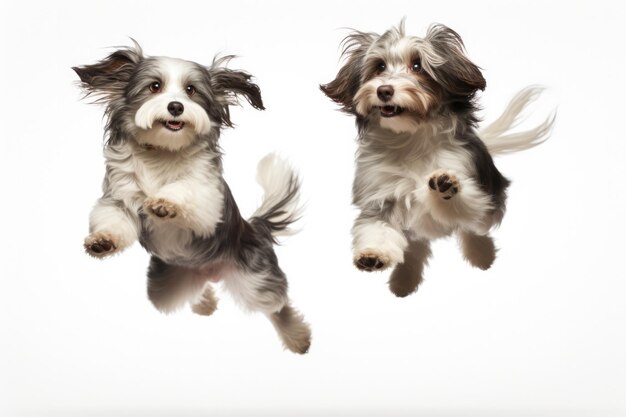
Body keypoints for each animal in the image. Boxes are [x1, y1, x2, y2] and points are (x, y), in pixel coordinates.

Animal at [74, 42, 310, 352]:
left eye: (191, 90)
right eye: (155, 86)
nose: (176, 106)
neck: (163, 152)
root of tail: (252, 227)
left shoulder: (208, 197)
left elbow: (185, 189)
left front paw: (164, 203)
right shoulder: (119, 199)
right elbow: (113, 218)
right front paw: (102, 241)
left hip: (255, 280)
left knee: (277, 305)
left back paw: (298, 336)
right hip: (165, 287)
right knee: (191, 294)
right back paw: (205, 302)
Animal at [322, 22, 552, 296]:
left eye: (418, 65)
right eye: (379, 66)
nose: (384, 90)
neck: (411, 140)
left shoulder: (473, 189)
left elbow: (465, 211)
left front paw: (445, 186)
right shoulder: (381, 195)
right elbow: (377, 227)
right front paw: (372, 254)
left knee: (476, 230)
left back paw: (481, 255)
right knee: (416, 247)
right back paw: (404, 279)